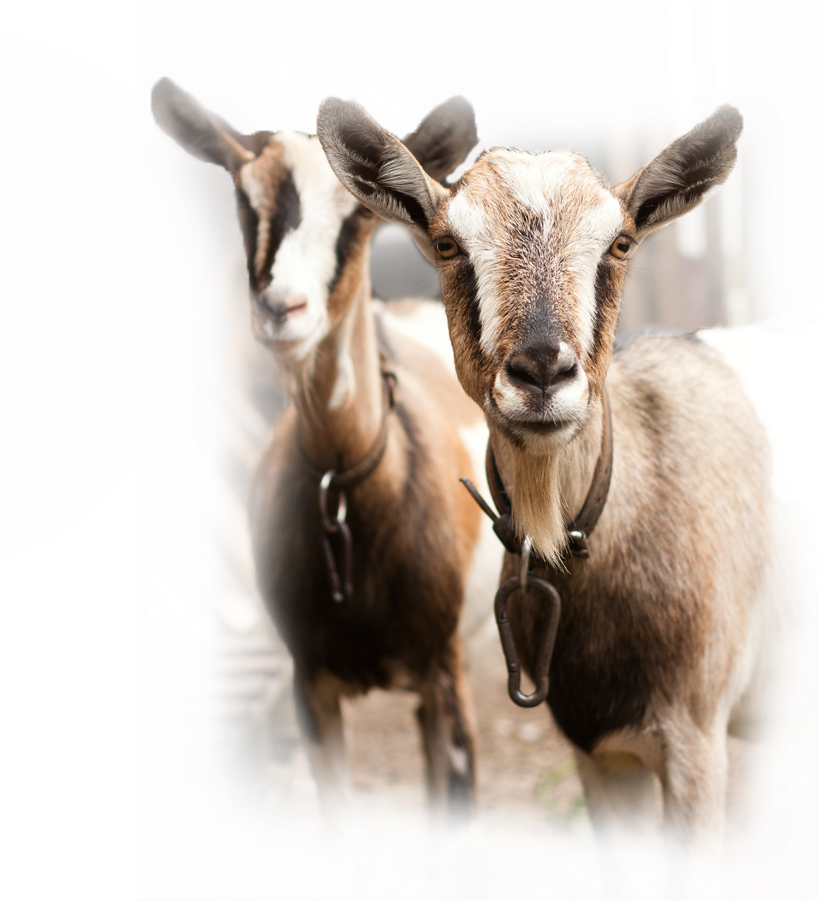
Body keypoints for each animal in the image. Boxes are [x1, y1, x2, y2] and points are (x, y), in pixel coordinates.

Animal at [150, 77, 504, 900]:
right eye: (243, 201)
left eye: (356, 214)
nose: (282, 309)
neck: (353, 488)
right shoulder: (311, 679)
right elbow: (341, 850)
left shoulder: (446, 661)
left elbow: (467, 857)